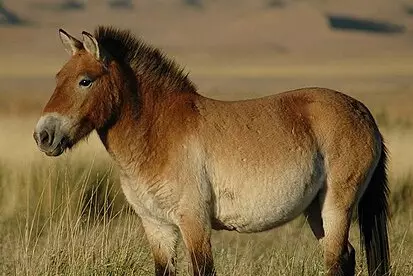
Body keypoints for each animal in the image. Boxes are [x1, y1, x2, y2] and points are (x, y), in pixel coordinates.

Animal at [33, 26, 390, 276]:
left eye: (85, 81)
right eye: (57, 77)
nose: (43, 135)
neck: (157, 133)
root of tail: (363, 113)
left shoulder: (193, 221)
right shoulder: (156, 226)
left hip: (337, 206)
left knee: (337, 260)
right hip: (316, 211)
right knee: (346, 257)